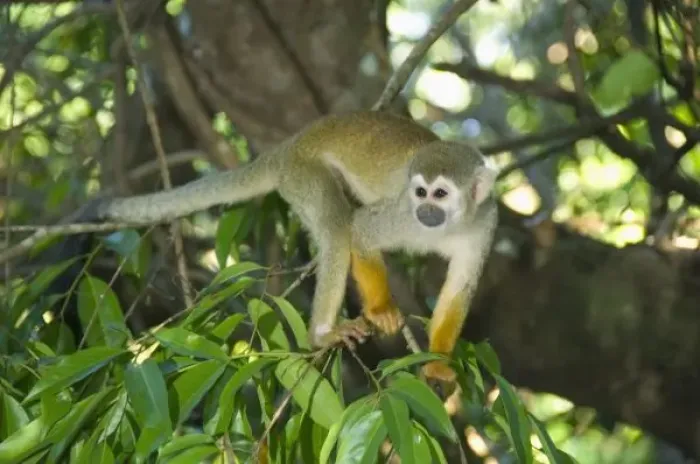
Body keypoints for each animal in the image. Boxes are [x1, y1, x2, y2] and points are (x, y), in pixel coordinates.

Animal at [87, 111, 499, 386]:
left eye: (440, 194)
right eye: (420, 192)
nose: (425, 211)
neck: (449, 224)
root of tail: (289, 146)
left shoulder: (485, 223)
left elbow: (460, 290)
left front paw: (439, 362)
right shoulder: (402, 214)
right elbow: (361, 232)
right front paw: (381, 310)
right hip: (303, 174)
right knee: (337, 228)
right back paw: (322, 334)